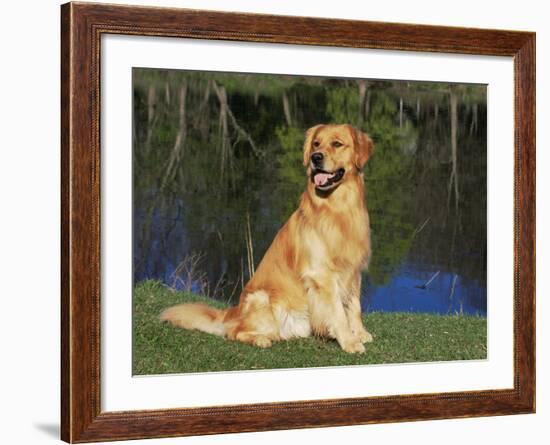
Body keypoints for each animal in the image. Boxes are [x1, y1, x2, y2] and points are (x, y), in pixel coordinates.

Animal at [160, 123, 376, 352]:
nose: (315, 157)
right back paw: (260, 339)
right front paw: (349, 342)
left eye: (337, 143)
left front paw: (359, 333)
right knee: (234, 331)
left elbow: (354, 306)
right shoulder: (322, 275)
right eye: (316, 144)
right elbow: (337, 312)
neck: (338, 209)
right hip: (262, 300)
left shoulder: (353, 271)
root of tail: (234, 311)